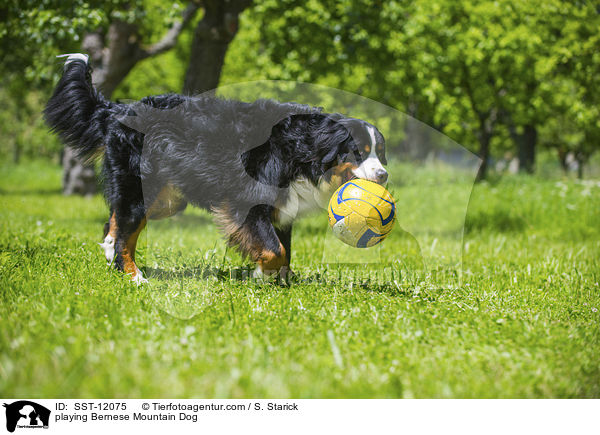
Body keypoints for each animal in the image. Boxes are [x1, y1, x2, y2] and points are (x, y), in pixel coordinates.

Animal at [43, 53, 390, 282]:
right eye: (359, 152)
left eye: (381, 152)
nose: (384, 175)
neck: (302, 148)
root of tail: (119, 109)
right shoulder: (247, 201)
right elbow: (274, 248)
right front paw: (262, 273)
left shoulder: (283, 208)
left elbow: (284, 250)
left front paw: (277, 280)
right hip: (142, 187)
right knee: (127, 231)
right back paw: (132, 274)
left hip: (166, 199)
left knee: (114, 221)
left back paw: (110, 253)